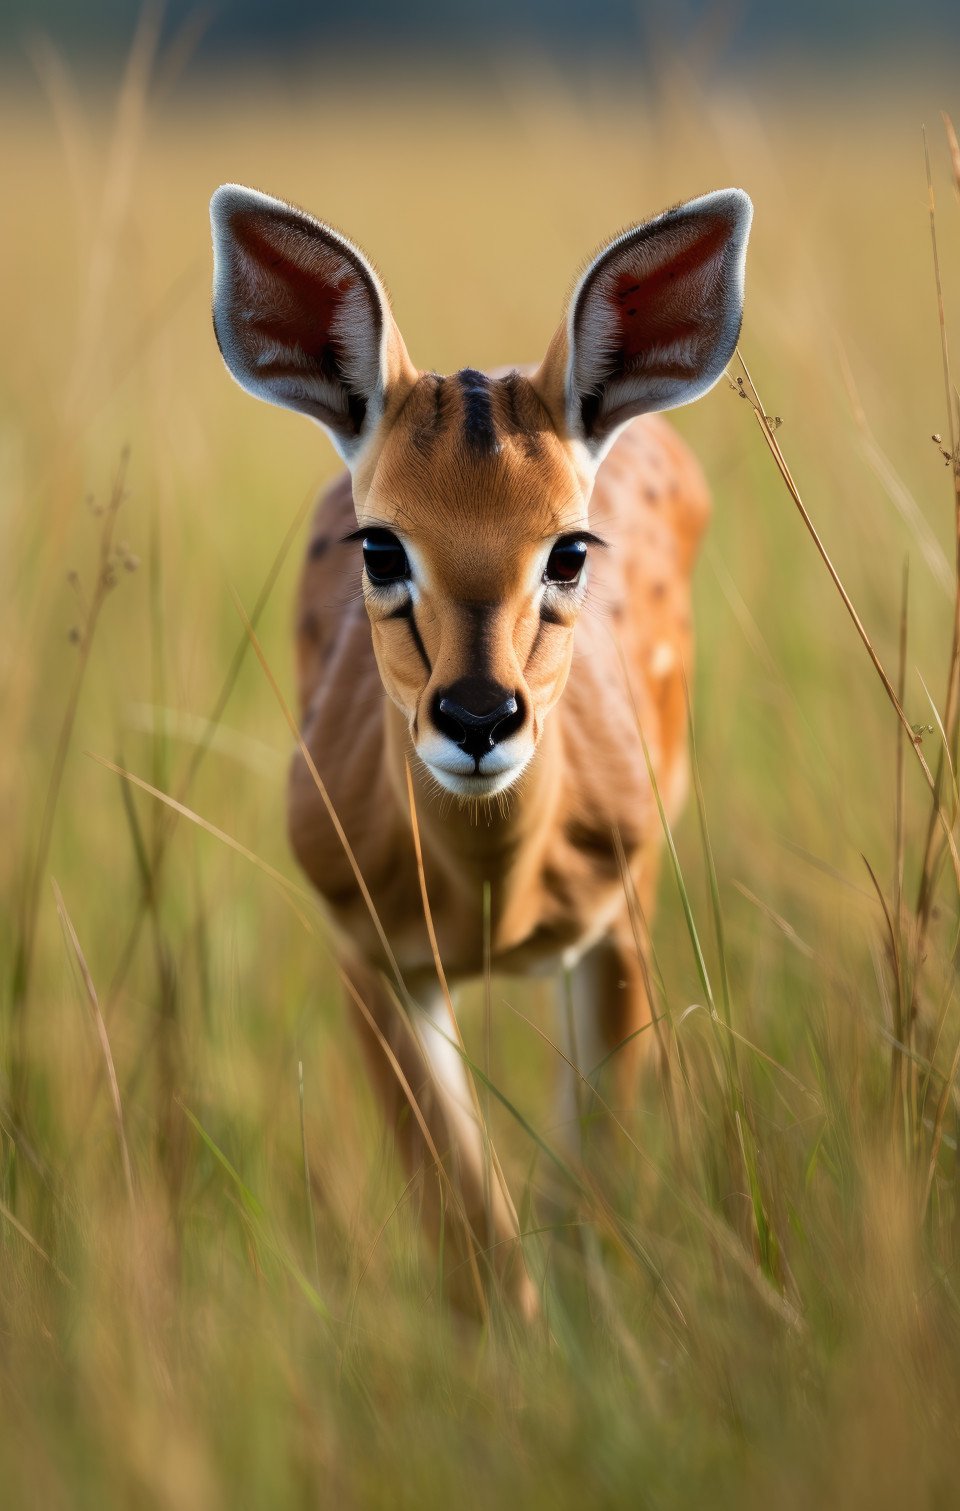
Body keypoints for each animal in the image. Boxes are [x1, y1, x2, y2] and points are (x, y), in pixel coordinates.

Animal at [210, 182, 752, 1319]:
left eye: (569, 547)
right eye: (380, 543)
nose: (476, 716)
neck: (494, 907)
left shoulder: (620, 912)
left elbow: (585, 1200)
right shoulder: (366, 943)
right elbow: (476, 1247)